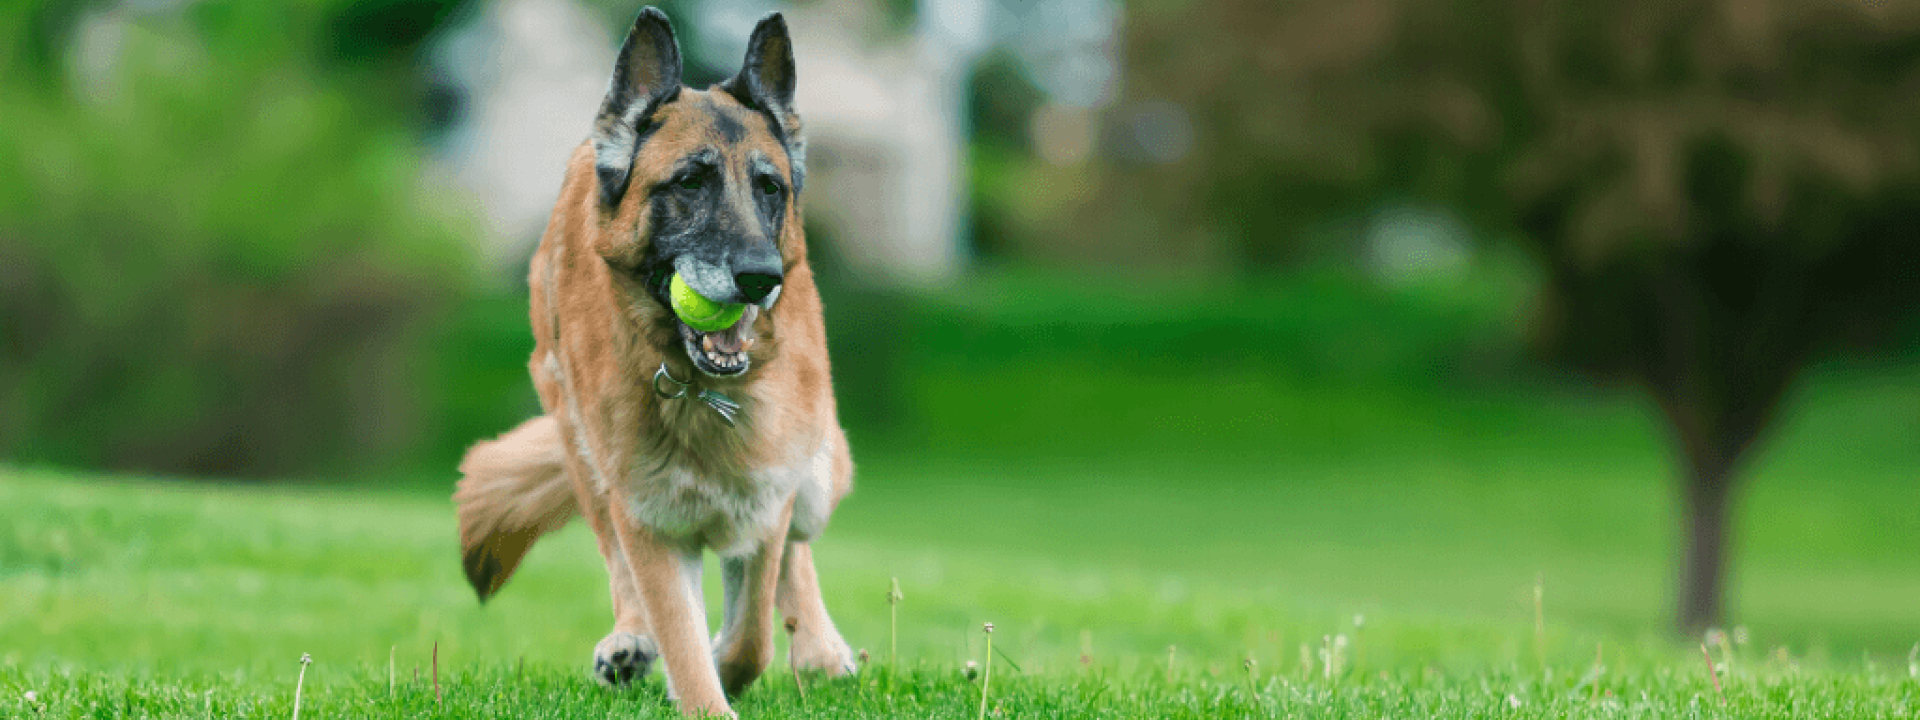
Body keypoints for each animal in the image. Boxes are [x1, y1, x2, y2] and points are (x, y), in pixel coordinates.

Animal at [453, 8, 852, 718]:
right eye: (689, 182)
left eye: (770, 188)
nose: (762, 278)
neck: (697, 390)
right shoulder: (649, 520)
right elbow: (682, 635)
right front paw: (694, 678)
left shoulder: (767, 500)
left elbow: (751, 631)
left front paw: (734, 658)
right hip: (586, 457)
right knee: (617, 558)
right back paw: (632, 637)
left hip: (819, 473)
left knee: (796, 557)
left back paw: (820, 650)